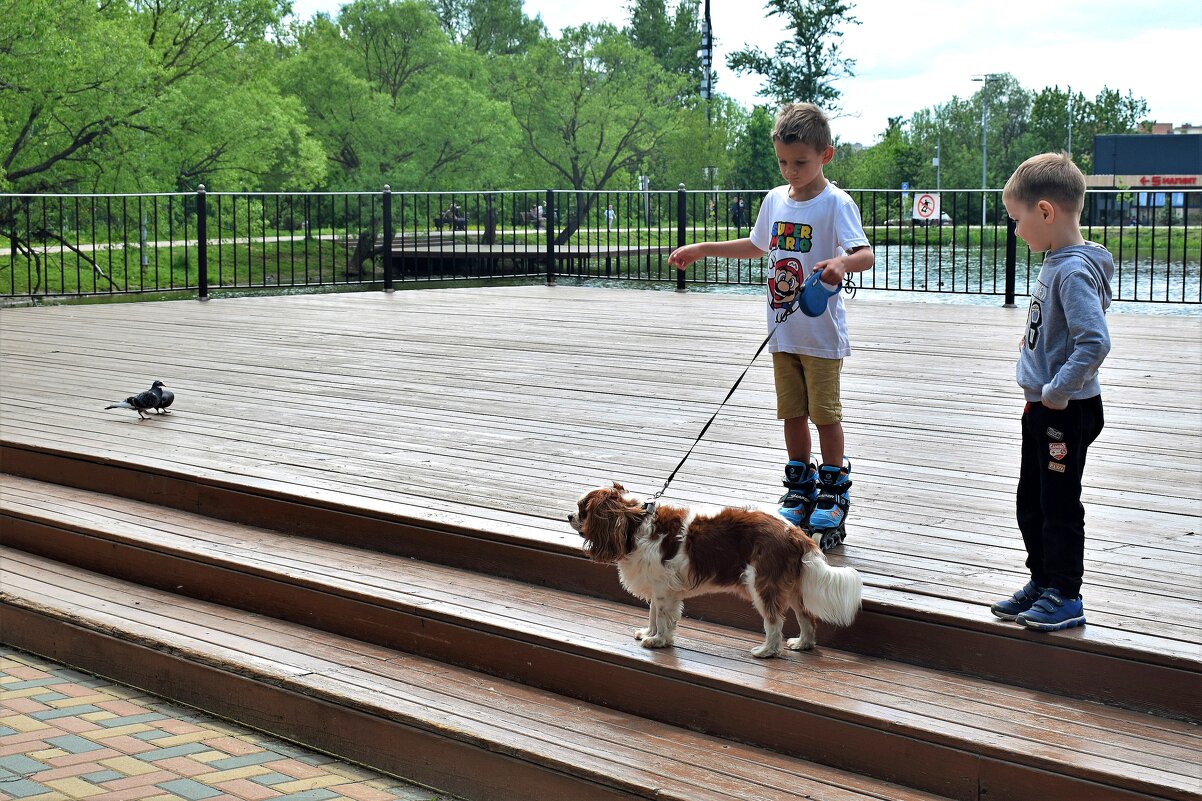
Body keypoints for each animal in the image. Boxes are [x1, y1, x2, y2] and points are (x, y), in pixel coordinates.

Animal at [567, 481, 860, 654]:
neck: (634, 524)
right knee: (806, 617)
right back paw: (803, 644)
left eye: (582, 510)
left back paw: (766, 651)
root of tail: (795, 533)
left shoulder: (664, 591)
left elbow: (662, 618)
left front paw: (659, 640)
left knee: (774, 621)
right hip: (794, 588)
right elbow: (652, 614)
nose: (569, 515)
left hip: (763, 585)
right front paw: (648, 633)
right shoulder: (657, 587)